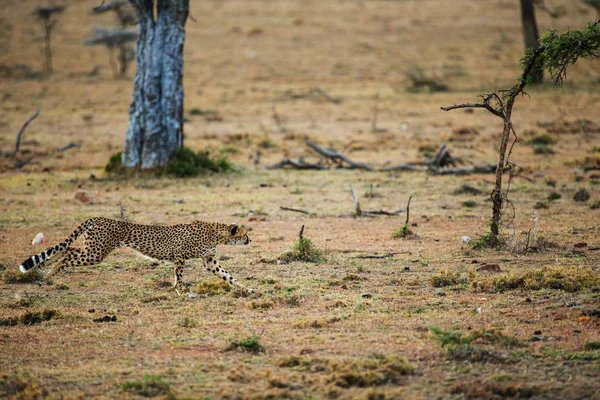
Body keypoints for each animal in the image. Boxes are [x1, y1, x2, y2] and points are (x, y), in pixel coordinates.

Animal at [18, 217, 253, 296]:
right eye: (244, 234)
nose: (250, 240)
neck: (218, 233)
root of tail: (98, 217)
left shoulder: (210, 262)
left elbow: (228, 276)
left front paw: (248, 289)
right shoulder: (179, 256)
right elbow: (179, 277)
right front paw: (181, 291)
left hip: (92, 250)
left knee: (67, 250)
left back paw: (45, 270)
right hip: (96, 253)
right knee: (67, 256)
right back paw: (48, 276)